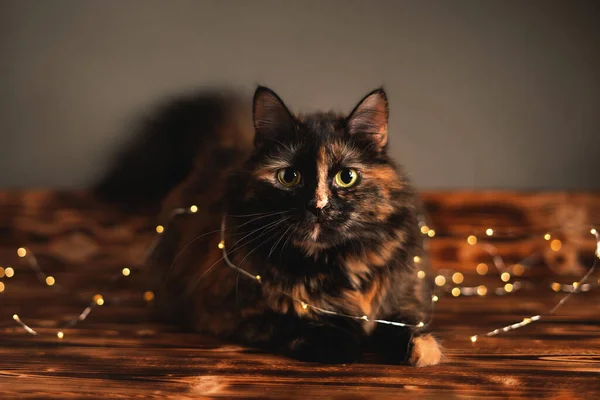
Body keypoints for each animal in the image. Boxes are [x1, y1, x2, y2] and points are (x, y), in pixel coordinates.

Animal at [94, 85, 440, 366]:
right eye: (289, 177)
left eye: (346, 176)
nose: (318, 206)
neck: (334, 264)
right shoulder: (229, 309)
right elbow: (294, 322)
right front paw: (343, 341)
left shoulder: (403, 296)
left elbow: (403, 323)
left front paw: (421, 348)